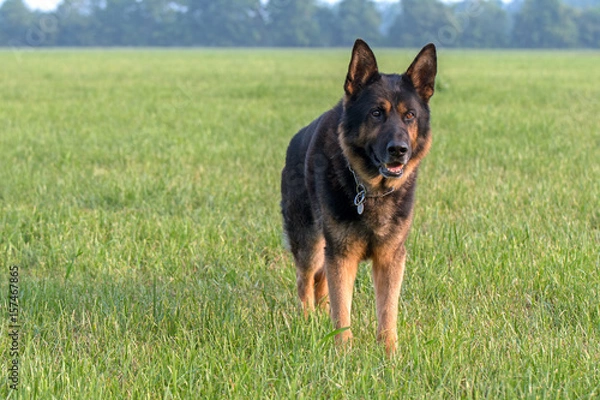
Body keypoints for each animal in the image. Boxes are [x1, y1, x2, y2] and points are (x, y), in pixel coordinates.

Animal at [282, 39, 436, 354]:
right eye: (376, 113)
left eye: (409, 115)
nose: (399, 150)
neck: (370, 190)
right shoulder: (341, 254)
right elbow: (342, 310)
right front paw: (342, 352)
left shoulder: (390, 258)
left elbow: (387, 310)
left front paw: (390, 353)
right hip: (309, 244)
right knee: (305, 282)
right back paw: (307, 322)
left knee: (320, 282)